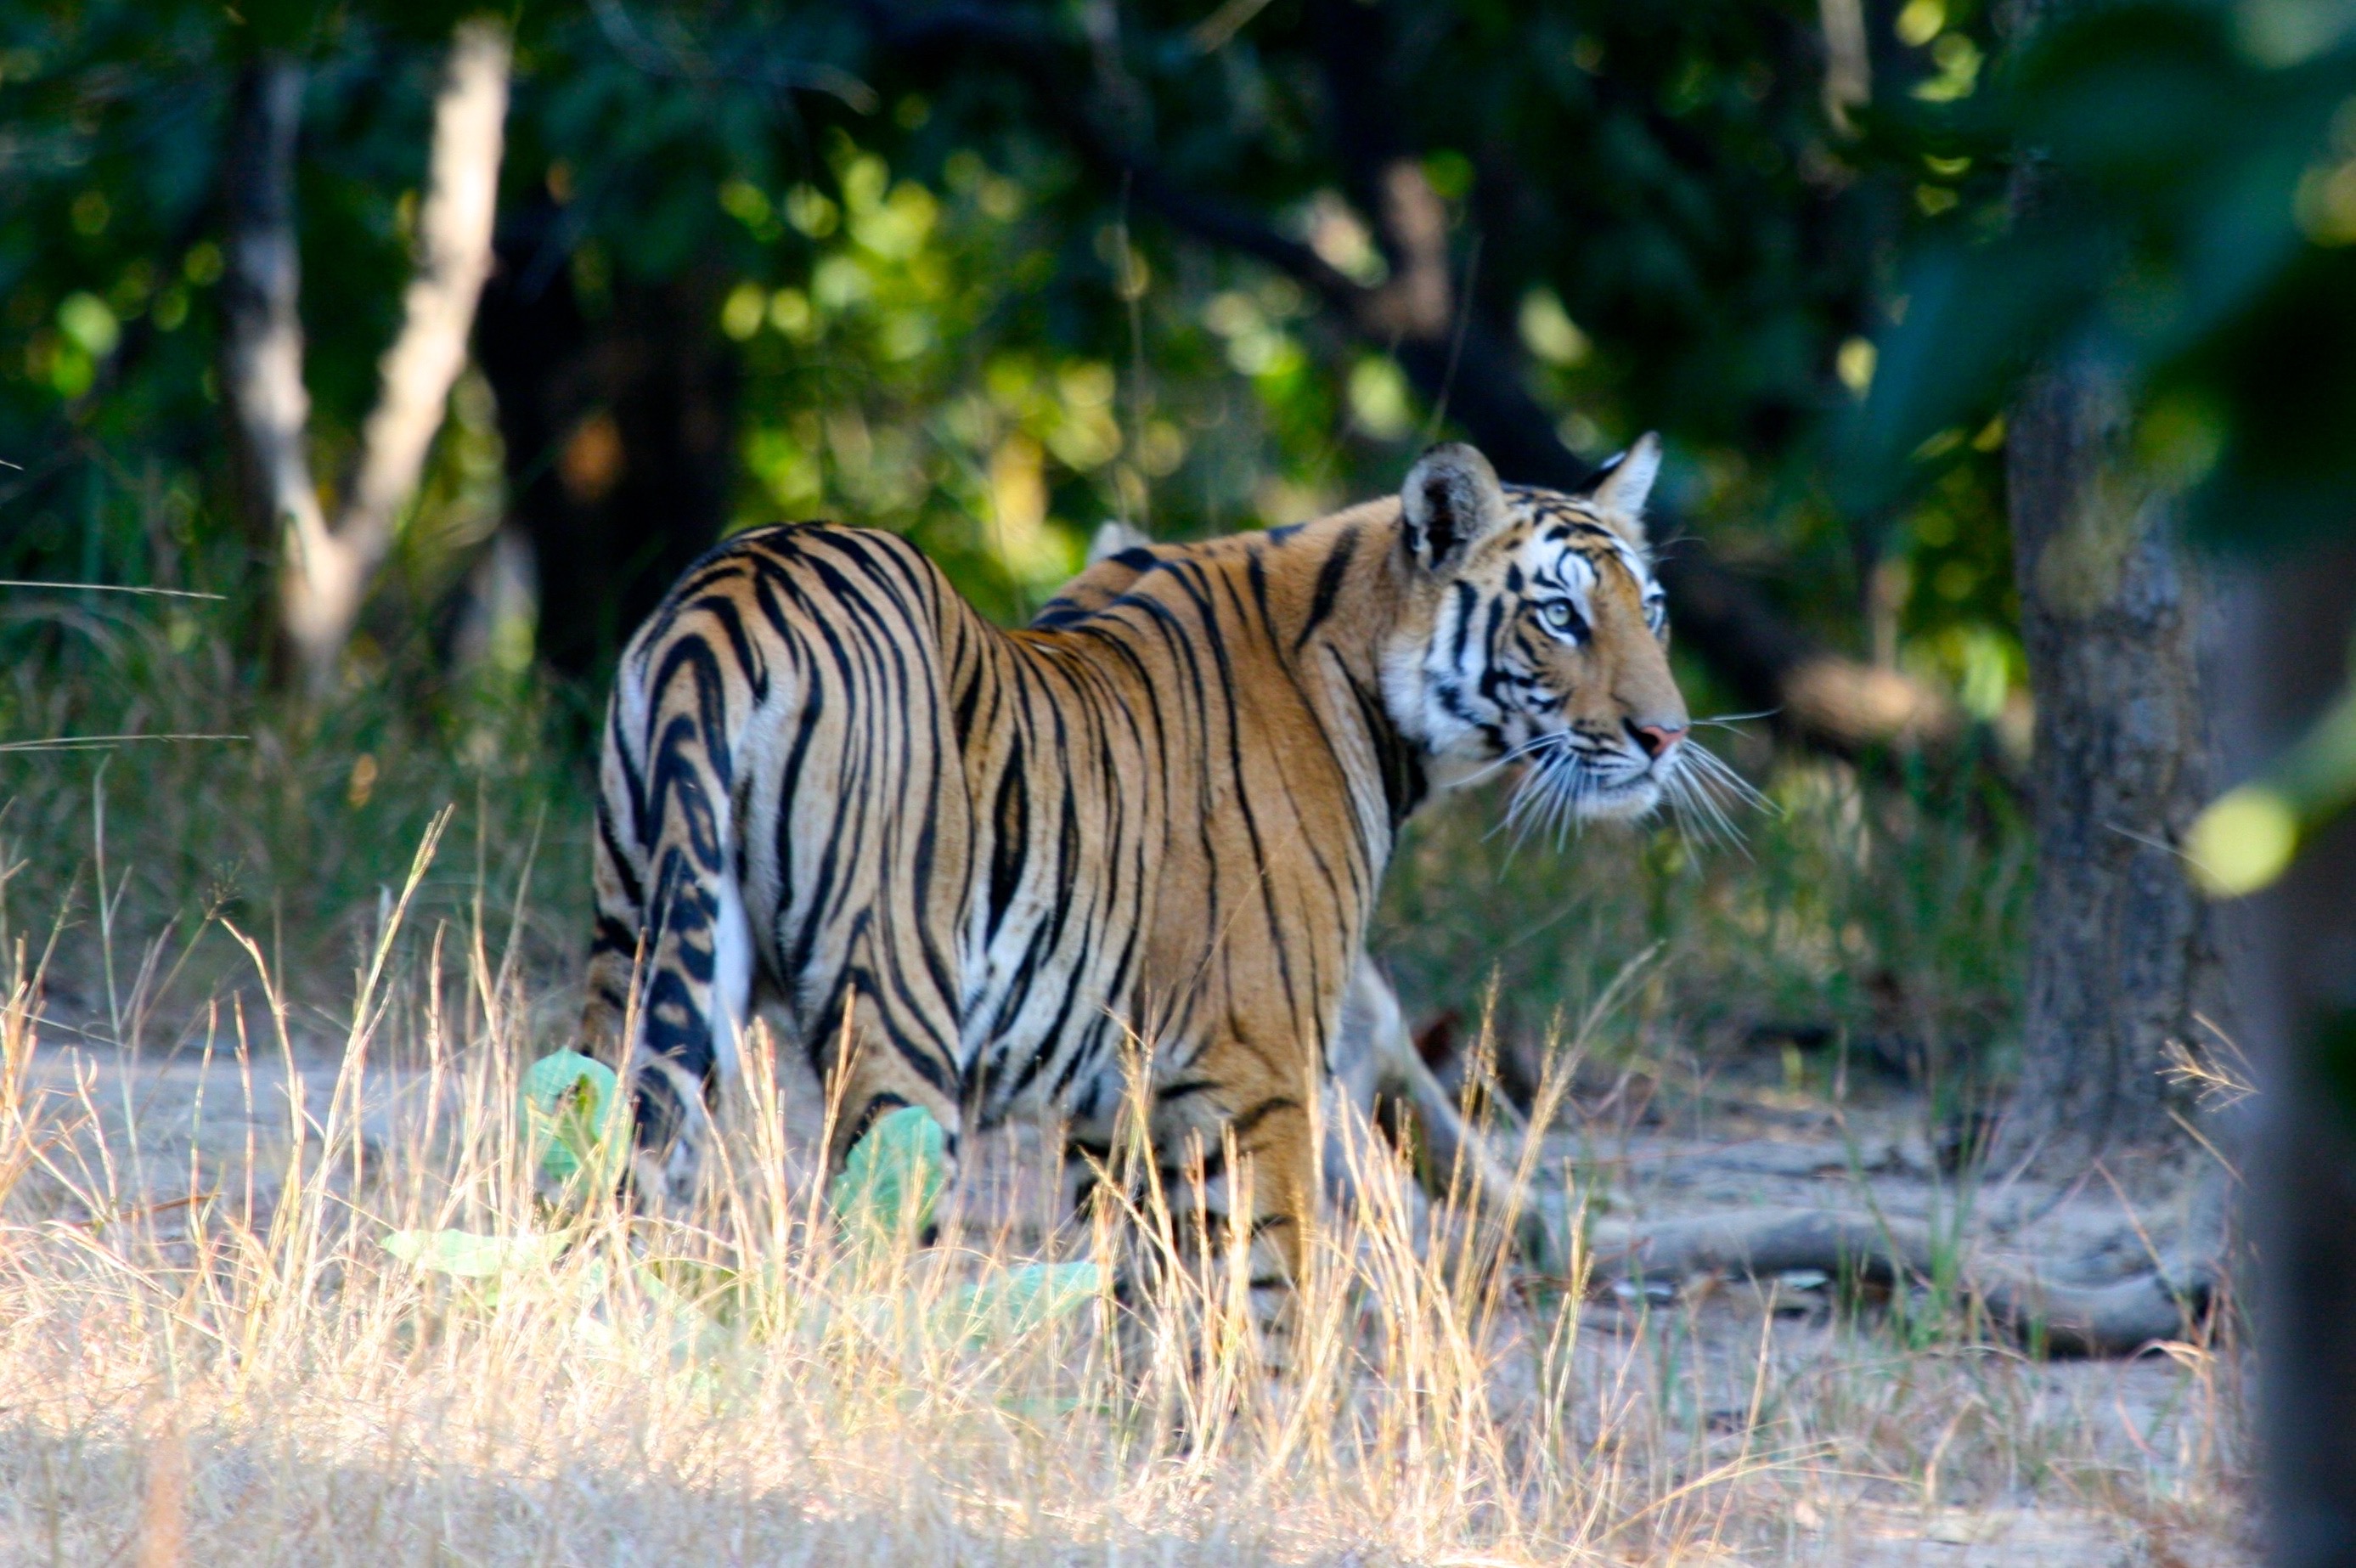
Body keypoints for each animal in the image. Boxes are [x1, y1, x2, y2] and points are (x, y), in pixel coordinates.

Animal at [577, 433, 1687, 1329]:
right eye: (1559, 615)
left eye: (1651, 611)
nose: (1667, 735)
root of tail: (730, 592)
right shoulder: (1259, 1069)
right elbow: (1267, 1294)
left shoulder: (1116, 1104)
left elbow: (1140, 1301)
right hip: (895, 1016)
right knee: (860, 1252)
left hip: (639, 957)